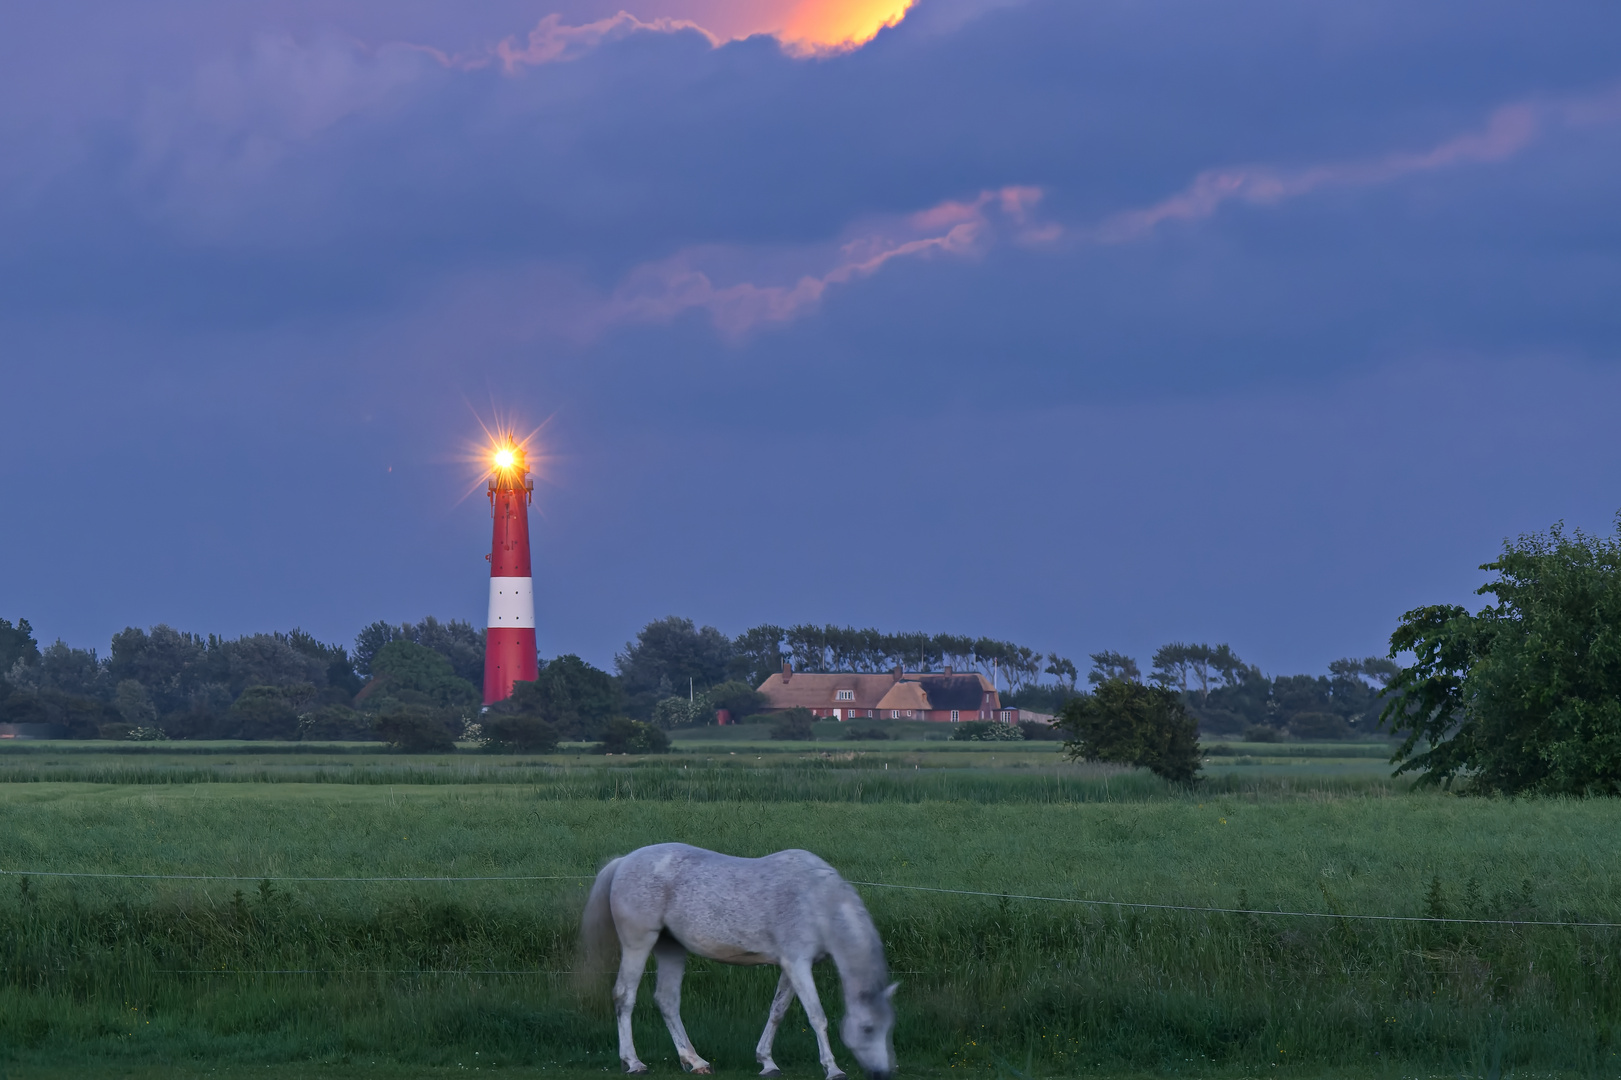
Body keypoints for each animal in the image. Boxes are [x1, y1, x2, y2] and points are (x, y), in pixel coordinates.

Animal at [583, 843, 901, 1076]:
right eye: (868, 1028)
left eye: (888, 1028)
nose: (882, 1073)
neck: (817, 899)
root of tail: (624, 861)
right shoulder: (798, 964)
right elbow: (817, 1016)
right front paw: (833, 1069)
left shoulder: (791, 966)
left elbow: (777, 1011)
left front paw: (767, 1062)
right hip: (638, 944)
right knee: (624, 996)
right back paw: (634, 1063)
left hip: (671, 948)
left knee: (667, 1000)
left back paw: (695, 1062)